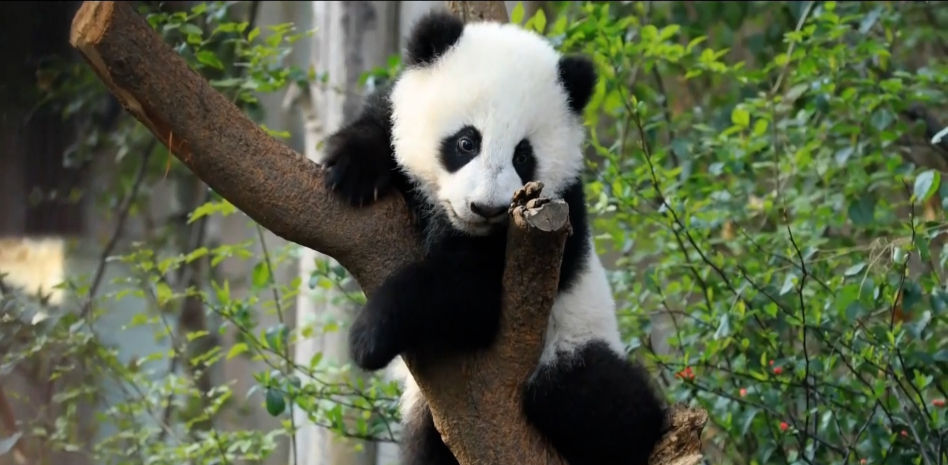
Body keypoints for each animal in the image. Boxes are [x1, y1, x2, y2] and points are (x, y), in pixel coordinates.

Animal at [323, 11, 667, 465]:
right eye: (466, 142)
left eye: (523, 155)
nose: (486, 208)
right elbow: (381, 124)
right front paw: (352, 168)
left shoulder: (559, 227)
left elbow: (471, 295)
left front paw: (369, 335)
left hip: (574, 342)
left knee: (593, 398)